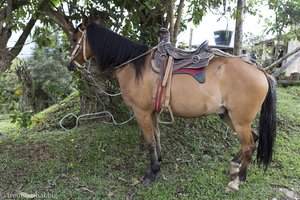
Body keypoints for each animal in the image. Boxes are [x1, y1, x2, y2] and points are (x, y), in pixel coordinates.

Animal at [66, 16, 276, 191]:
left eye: (75, 39)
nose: (69, 64)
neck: (134, 65)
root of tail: (261, 70)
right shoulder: (152, 112)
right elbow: (157, 136)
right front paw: (159, 162)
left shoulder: (141, 112)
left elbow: (149, 141)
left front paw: (152, 174)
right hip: (228, 116)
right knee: (254, 138)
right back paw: (234, 166)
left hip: (240, 120)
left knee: (249, 145)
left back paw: (238, 180)